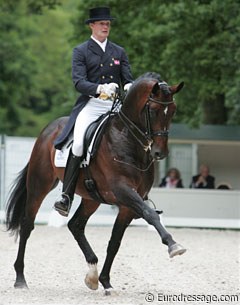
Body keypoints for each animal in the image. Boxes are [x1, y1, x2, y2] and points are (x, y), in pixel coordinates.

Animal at [5, 72, 186, 294]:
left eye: (173, 111)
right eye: (152, 110)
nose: (160, 153)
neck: (127, 138)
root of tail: (48, 130)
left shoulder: (127, 204)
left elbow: (115, 242)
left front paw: (106, 281)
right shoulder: (123, 190)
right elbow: (150, 214)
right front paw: (173, 245)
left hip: (92, 198)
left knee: (75, 225)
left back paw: (91, 274)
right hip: (39, 185)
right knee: (27, 225)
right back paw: (20, 278)